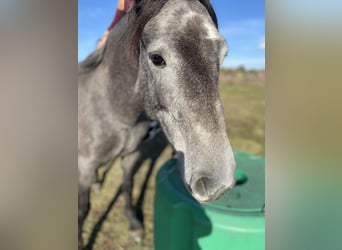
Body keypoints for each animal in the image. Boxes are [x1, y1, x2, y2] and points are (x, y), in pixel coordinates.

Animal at [79, 0, 236, 247]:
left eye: (223, 55)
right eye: (156, 58)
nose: (218, 181)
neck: (111, 107)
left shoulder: (132, 155)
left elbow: (127, 185)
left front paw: (134, 225)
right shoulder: (84, 166)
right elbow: (83, 209)